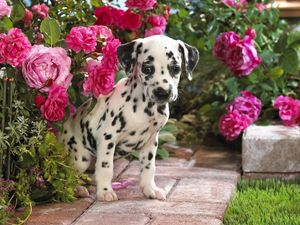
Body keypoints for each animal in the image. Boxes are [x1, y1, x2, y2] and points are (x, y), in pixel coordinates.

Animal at [59, 35, 198, 202]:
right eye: (147, 69)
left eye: (176, 68)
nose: (162, 93)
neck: (145, 107)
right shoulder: (107, 138)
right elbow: (106, 168)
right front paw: (105, 191)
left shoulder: (151, 141)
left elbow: (148, 168)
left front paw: (150, 189)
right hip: (80, 158)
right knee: (69, 175)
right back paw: (78, 189)